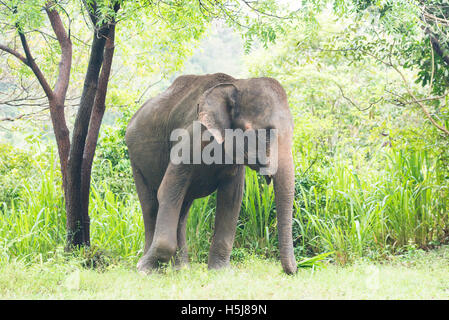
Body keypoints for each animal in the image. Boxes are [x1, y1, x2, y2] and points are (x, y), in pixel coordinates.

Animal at [124, 73, 296, 276]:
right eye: (265, 134)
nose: (293, 270)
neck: (237, 83)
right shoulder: (190, 138)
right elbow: (166, 190)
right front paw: (144, 269)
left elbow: (231, 199)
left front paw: (220, 271)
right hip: (135, 159)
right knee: (151, 205)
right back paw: (150, 266)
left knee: (182, 210)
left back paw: (180, 268)